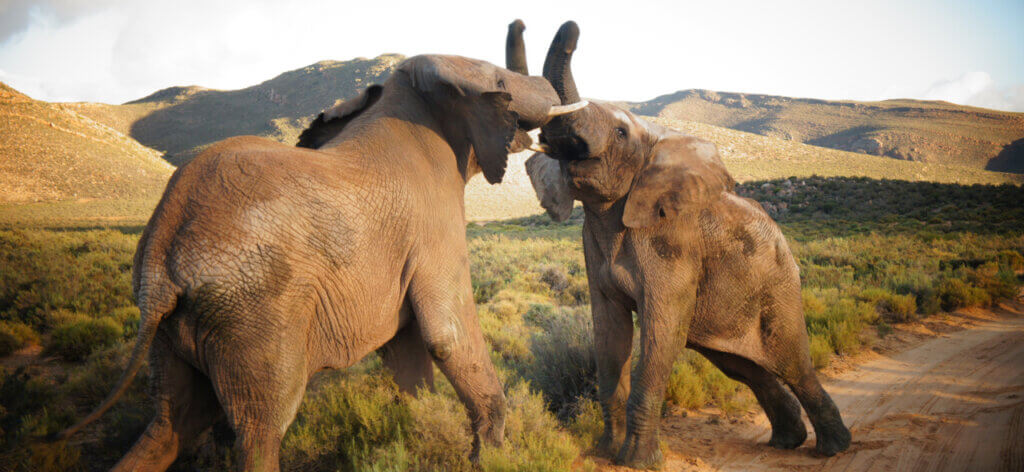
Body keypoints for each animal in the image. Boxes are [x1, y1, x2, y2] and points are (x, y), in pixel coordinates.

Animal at [56, 52, 588, 471]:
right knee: (261, 429)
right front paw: (498, 457)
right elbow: (447, 334)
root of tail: (162, 250)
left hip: (176, 326)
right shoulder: (435, 222)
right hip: (254, 310)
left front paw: (415, 431)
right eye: (499, 82)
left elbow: (407, 349)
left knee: (170, 424)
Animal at [513, 21, 852, 469]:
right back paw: (787, 441)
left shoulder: (671, 242)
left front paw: (636, 461)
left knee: (793, 362)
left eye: (620, 132)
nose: (572, 26)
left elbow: (661, 332)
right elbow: (610, 334)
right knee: (743, 367)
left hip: (779, 285)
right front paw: (605, 452)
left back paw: (834, 447)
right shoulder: (592, 242)